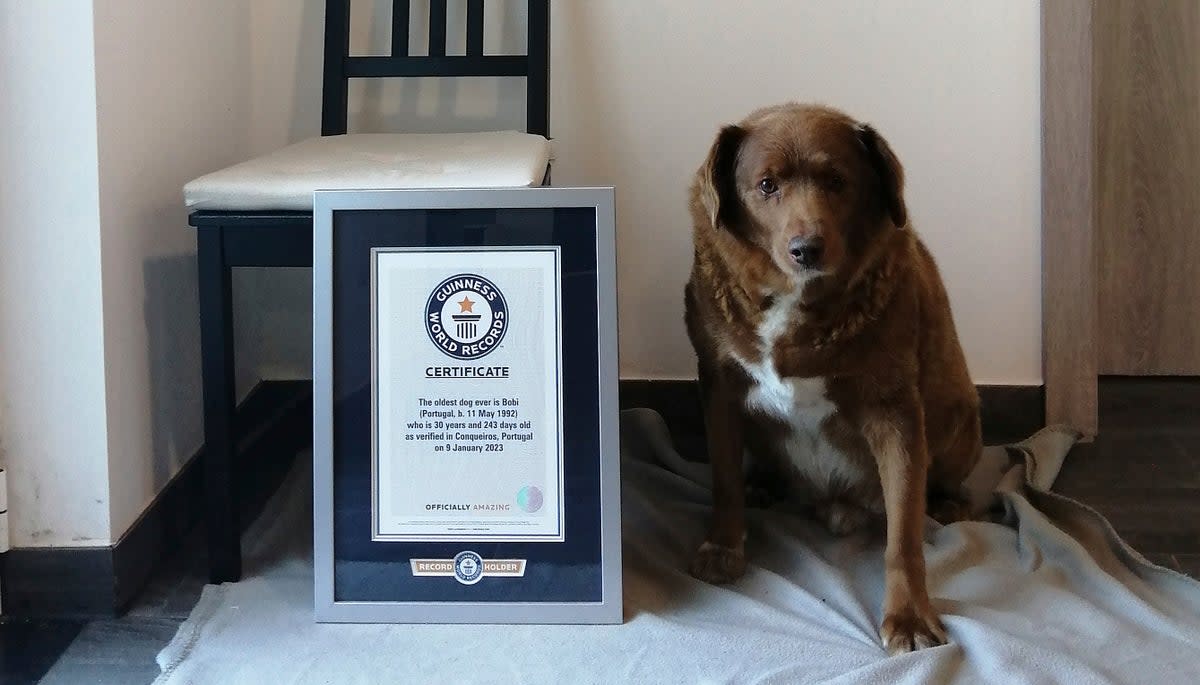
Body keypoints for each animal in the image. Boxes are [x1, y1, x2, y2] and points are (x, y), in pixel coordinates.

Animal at [686, 101, 984, 652]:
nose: (807, 248)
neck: (794, 301)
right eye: (766, 185)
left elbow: (903, 534)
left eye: (837, 181)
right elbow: (723, 481)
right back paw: (762, 483)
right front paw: (723, 547)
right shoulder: (717, 385)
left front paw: (909, 617)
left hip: (960, 416)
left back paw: (948, 503)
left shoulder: (895, 412)